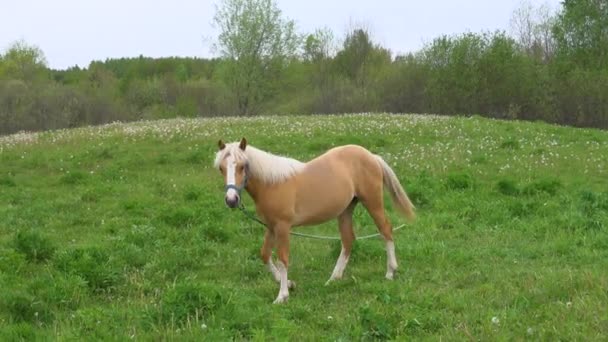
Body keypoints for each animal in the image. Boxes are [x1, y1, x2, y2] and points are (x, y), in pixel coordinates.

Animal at [211, 138, 416, 304]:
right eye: (221, 168)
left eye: (242, 166)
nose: (231, 200)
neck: (272, 183)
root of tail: (371, 156)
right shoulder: (271, 226)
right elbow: (265, 255)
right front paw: (289, 284)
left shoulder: (283, 227)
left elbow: (282, 259)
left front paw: (282, 296)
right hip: (346, 210)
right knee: (348, 240)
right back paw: (334, 279)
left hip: (372, 202)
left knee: (386, 230)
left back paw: (390, 272)